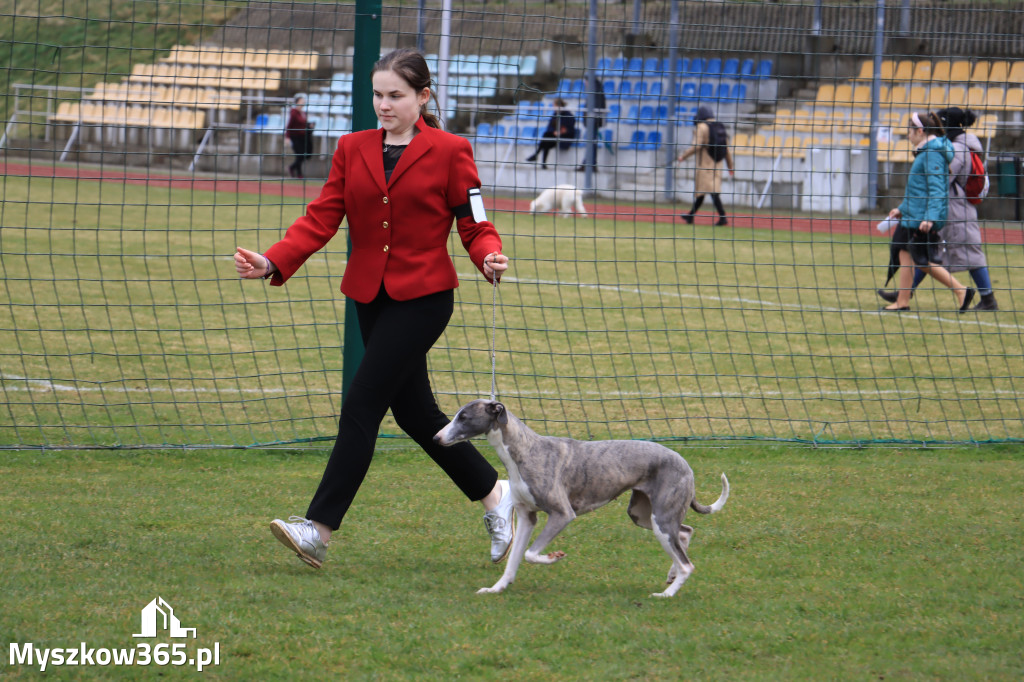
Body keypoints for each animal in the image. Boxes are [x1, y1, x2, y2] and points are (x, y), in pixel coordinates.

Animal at [432, 399, 729, 593]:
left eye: (463, 417)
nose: (435, 439)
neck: (526, 450)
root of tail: (685, 464)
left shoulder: (562, 514)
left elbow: (530, 554)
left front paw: (554, 557)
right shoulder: (527, 517)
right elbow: (514, 560)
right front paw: (497, 588)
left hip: (661, 518)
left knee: (688, 564)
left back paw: (667, 593)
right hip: (645, 515)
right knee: (685, 532)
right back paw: (671, 574)